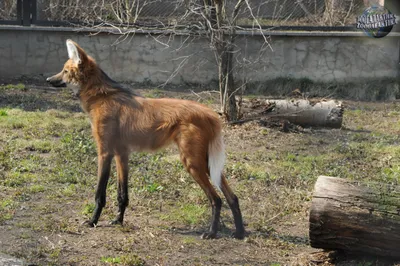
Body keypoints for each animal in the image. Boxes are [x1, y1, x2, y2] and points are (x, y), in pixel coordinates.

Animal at [48, 40, 245, 240]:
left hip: (192, 162)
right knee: (232, 197)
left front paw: (92, 221)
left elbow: (100, 194)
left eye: (65, 71)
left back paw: (211, 232)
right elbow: (122, 194)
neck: (101, 96)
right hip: (206, 162)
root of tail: (212, 114)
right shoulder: (121, 153)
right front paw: (118, 221)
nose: (48, 79)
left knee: (216, 199)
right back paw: (239, 232)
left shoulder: (105, 152)